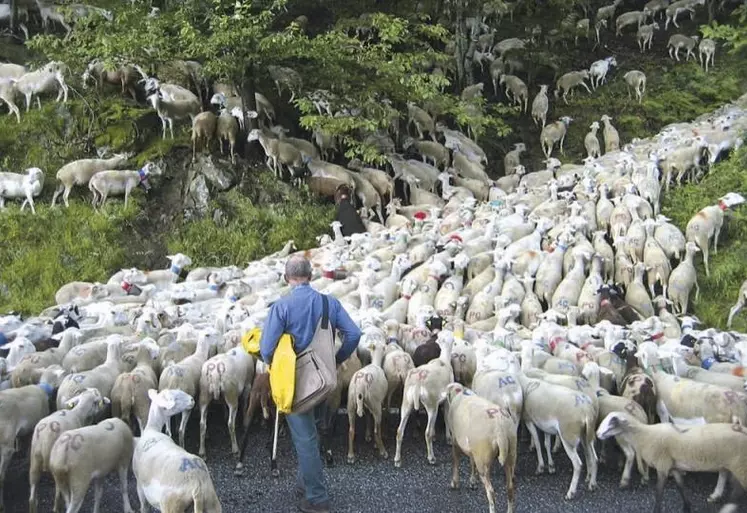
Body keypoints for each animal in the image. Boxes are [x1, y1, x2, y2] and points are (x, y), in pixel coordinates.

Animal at [394, 330, 452, 466]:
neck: (444, 359)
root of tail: (417, 383)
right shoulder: (446, 400)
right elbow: (446, 417)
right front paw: (448, 438)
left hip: (406, 402)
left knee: (399, 431)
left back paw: (397, 460)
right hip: (431, 405)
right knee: (427, 433)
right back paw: (431, 458)